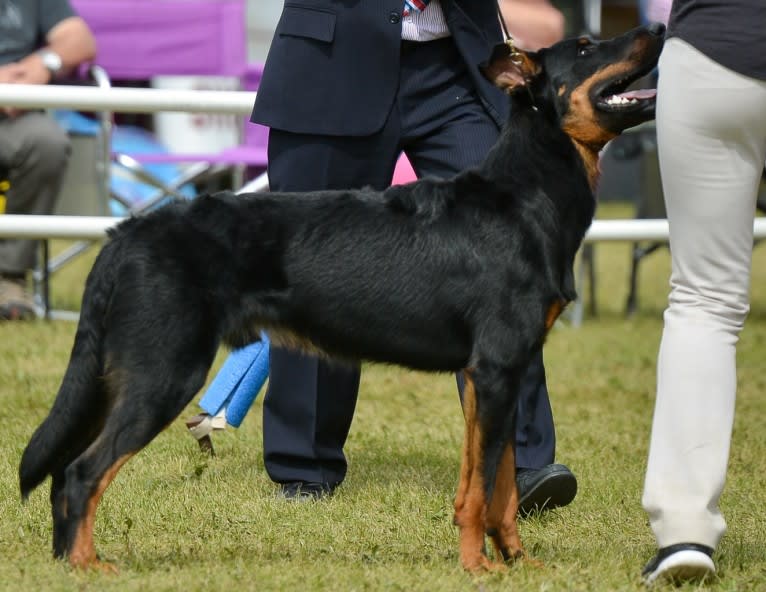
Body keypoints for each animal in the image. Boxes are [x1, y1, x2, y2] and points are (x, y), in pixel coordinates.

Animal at [16, 24, 664, 572]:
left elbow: (495, 483)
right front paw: (479, 569)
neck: (527, 194)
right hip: (163, 373)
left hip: (120, 377)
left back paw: (65, 563)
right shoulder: (499, 368)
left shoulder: (496, 376)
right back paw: (88, 567)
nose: (657, 28)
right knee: (82, 473)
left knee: (65, 477)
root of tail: (126, 232)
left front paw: (516, 563)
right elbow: (484, 486)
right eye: (586, 46)